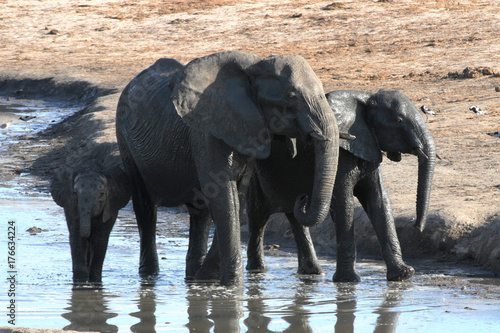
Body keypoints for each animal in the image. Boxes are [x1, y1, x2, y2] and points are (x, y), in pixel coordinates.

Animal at [51, 149, 131, 282]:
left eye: (102, 194)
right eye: (74, 193)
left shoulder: (110, 207)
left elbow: (100, 240)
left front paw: (94, 280)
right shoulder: (72, 207)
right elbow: (77, 238)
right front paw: (80, 280)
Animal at [115, 52, 340, 286]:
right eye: (291, 96)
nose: (302, 198)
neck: (254, 66)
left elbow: (235, 195)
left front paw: (209, 279)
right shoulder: (207, 130)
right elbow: (224, 194)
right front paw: (231, 287)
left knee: (200, 212)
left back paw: (193, 278)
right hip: (124, 136)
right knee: (145, 206)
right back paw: (150, 277)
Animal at [244, 88, 436, 280]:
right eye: (398, 121)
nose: (416, 227)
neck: (364, 99)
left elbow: (379, 202)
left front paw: (404, 274)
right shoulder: (341, 156)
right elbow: (345, 204)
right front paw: (349, 280)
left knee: (296, 217)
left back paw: (313, 273)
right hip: (254, 172)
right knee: (258, 216)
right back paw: (257, 271)